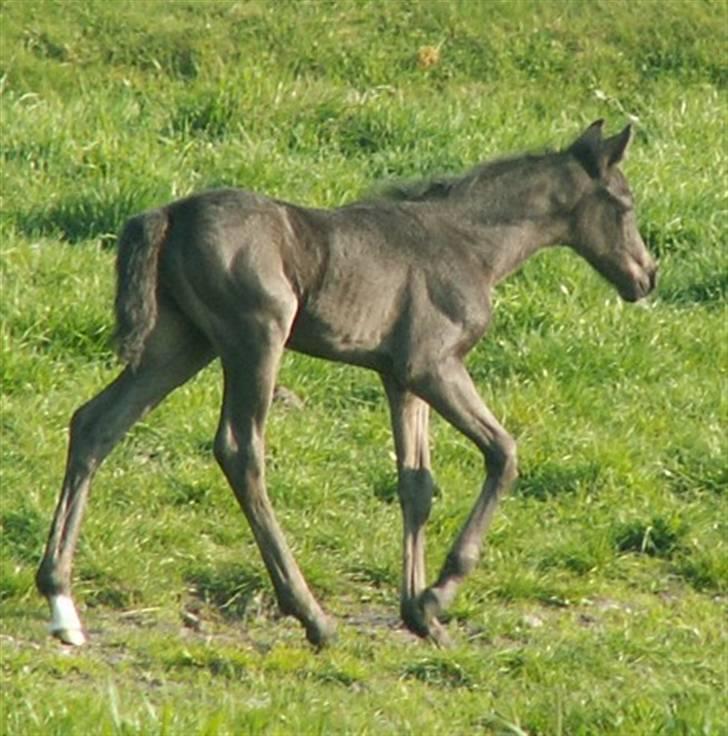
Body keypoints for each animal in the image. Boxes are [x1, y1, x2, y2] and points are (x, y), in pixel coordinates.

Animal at [37, 121, 656, 644]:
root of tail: (169, 213)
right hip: (255, 337)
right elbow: (502, 453)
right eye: (624, 203)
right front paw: (438, 595)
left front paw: (420, 615)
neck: (469, 245)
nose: (646, 276)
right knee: (240, 449)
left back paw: (62, 603)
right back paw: (312, 616)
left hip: (179, 344)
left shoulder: (398, 378)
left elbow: (417, 483)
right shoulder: (433, 365)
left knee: (96, 424)